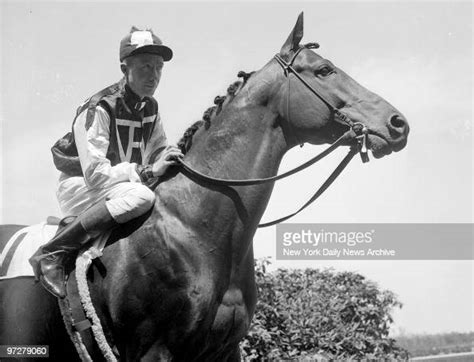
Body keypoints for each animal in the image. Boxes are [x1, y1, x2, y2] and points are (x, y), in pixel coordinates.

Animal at [0, 14, 408, 362]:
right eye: (324, 70)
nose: (397, 122)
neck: (193, 226)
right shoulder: (154, 351)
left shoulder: (226, 349)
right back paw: (48, 262)